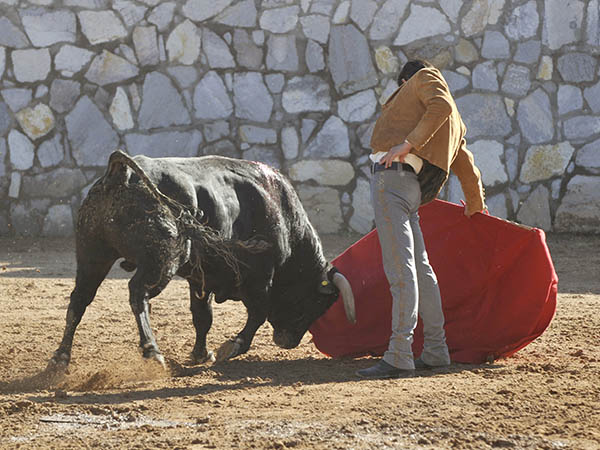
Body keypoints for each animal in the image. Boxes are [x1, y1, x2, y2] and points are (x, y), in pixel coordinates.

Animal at [49, 151, 356, 370]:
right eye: (315, 303)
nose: (288, 342)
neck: (282, 213)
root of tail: (121, 172)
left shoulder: (201, 279)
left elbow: (202, 316)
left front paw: (200, 353)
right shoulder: (260, 276)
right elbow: (257, 314)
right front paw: (232, 347)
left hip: (92, 253)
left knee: (80, 299)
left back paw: (60, 359)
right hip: (162, 261)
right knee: (138, 293)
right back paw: (152, 352)